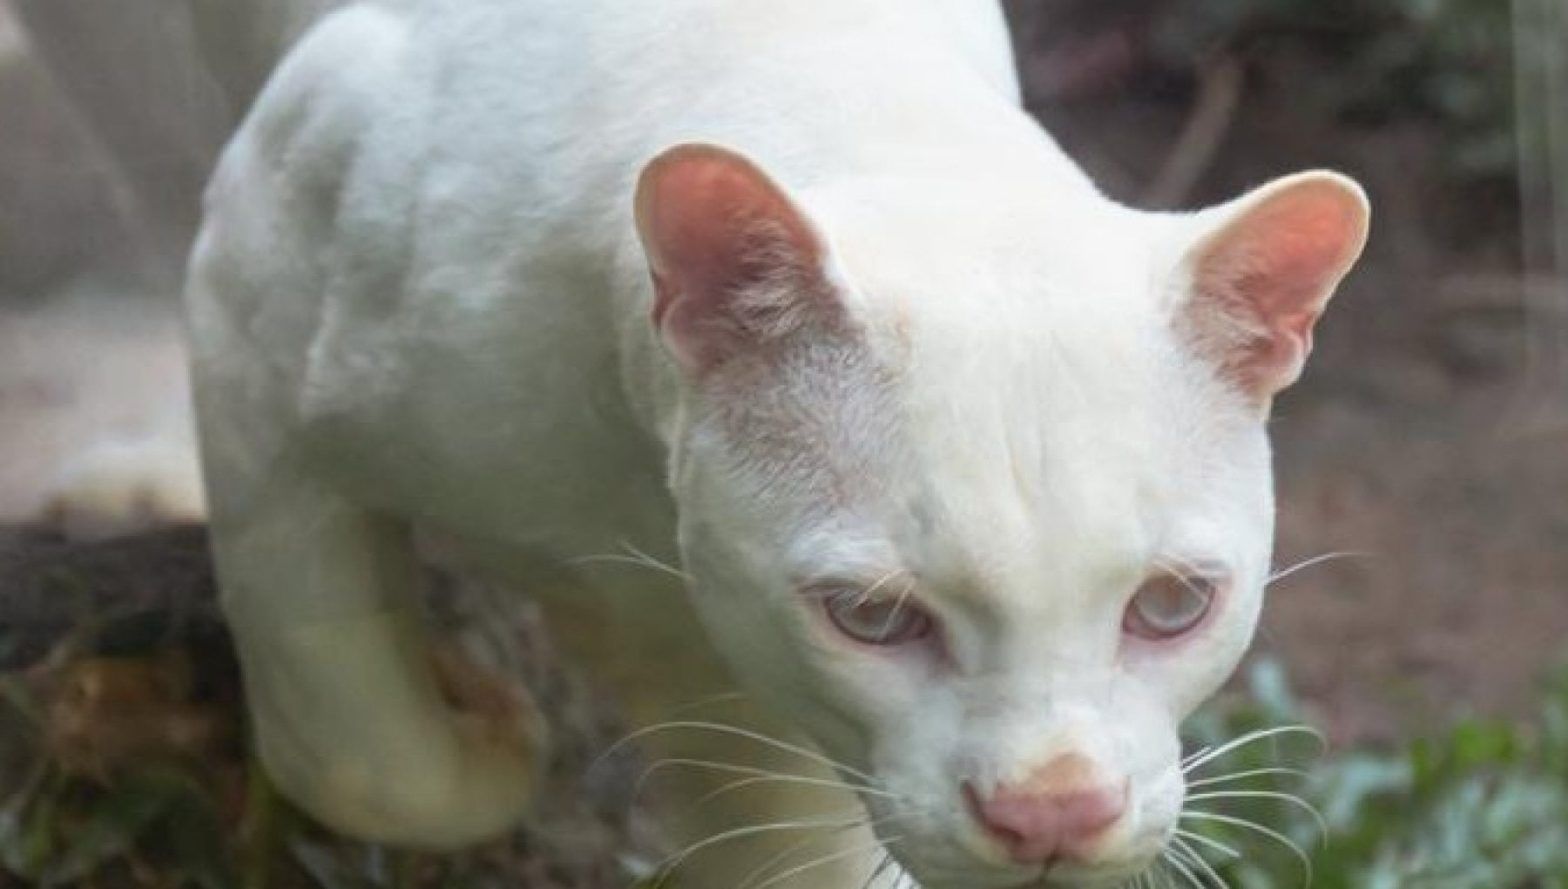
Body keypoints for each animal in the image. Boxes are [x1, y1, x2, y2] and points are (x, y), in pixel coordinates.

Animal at [180, 3, 1361, 884]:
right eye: (872, 618)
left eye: (1171, 606)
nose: (1053, 812)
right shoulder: (246, 343)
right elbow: (364, 753)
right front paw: (493, 731)